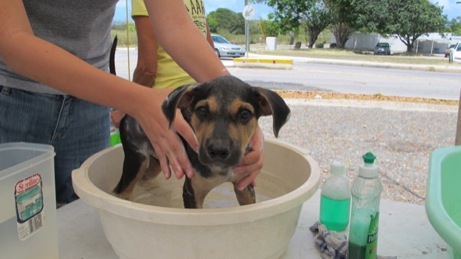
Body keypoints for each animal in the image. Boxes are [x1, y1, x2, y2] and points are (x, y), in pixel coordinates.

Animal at [113, 75, 290, 209]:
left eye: (245, 114)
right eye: (202, 110)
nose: (218, 150)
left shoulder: (244, 186)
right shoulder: (192, 191)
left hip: (157, 161)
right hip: (136, 160)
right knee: (121, 191)